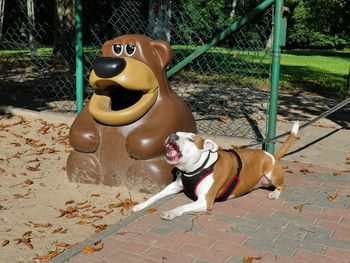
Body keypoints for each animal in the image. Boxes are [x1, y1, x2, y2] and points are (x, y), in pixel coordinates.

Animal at [133, 121, 300, 221]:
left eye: (190, 139)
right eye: (177, 133)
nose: (172, 135)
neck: (197, 168)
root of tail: (272, 155)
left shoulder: (204, 201)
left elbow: (183, 206)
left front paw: (171, 212)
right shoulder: (174, 186)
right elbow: (155, 196)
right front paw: (141, 205)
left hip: (273, 176)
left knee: (282, 185)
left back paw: (274, 193)